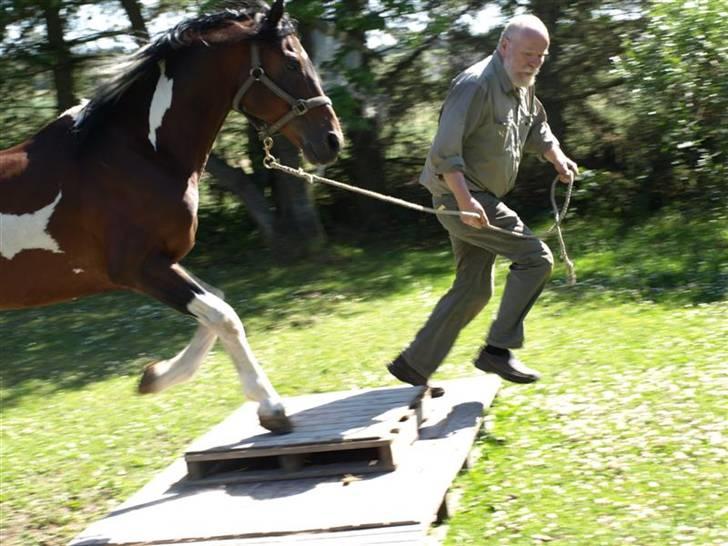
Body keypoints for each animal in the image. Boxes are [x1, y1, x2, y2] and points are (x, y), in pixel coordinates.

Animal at [0, 0, 344, 434]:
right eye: (291, 61)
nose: (332, 140)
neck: (136, 154)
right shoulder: (136, 268)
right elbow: (224, 316)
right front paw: (271, 407)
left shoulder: (164, 260)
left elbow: (216, 304)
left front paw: (155, 376)